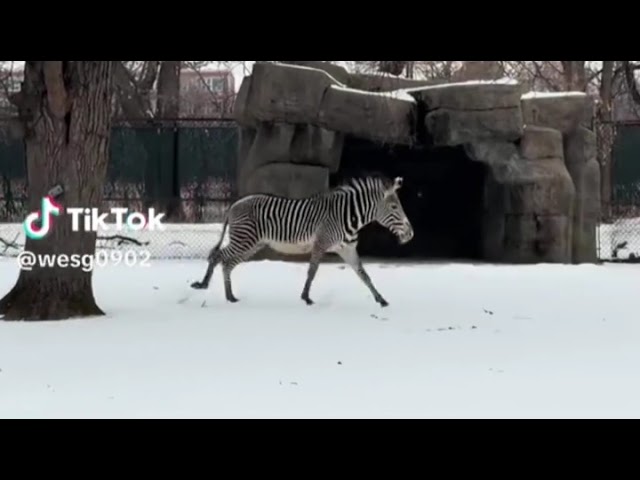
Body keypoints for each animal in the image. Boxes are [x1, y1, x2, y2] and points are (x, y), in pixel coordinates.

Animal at [190, 174, 414, 307]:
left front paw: (381, 299)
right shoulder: (321, 243)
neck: (348, 215)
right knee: (218, 256)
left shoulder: (347, 249)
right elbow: (312, 271)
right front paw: (306, 297)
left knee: (226, 261)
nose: (411, 234)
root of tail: (234, 204)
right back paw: (211, 287)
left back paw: (229, 295)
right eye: (394, 207)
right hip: (245, 239)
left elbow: (363, 274)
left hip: (252, 244)